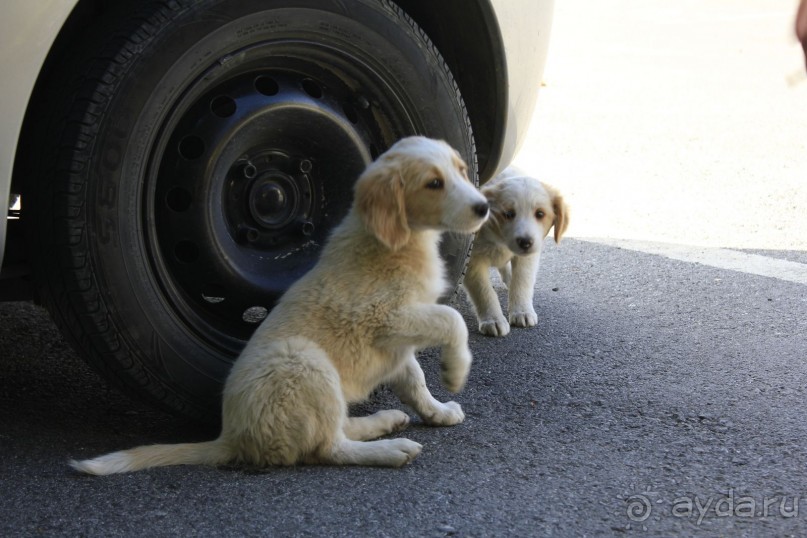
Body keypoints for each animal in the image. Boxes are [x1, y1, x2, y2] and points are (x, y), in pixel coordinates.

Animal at [69, 138, 490, 474]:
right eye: (433, 184)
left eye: (460, 171)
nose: (484, 207)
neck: (399, 241)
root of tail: (234, 438)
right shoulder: (384, 317)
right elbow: (453, 318)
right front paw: (456, 371)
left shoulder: (397, 343)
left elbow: (414, 379)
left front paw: (438, 410)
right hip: (304, 362)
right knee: (327, 448)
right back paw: (390, 448)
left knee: (334, 429)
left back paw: (382, 422)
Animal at [460, 165, 568, 338]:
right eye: (508, 214)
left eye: (540, 214)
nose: (525, 242)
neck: (498, 238)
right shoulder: (472, 261)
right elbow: (483, 291)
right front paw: (493, 320)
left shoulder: (527, 257)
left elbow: (522, 281)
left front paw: (521, 311)